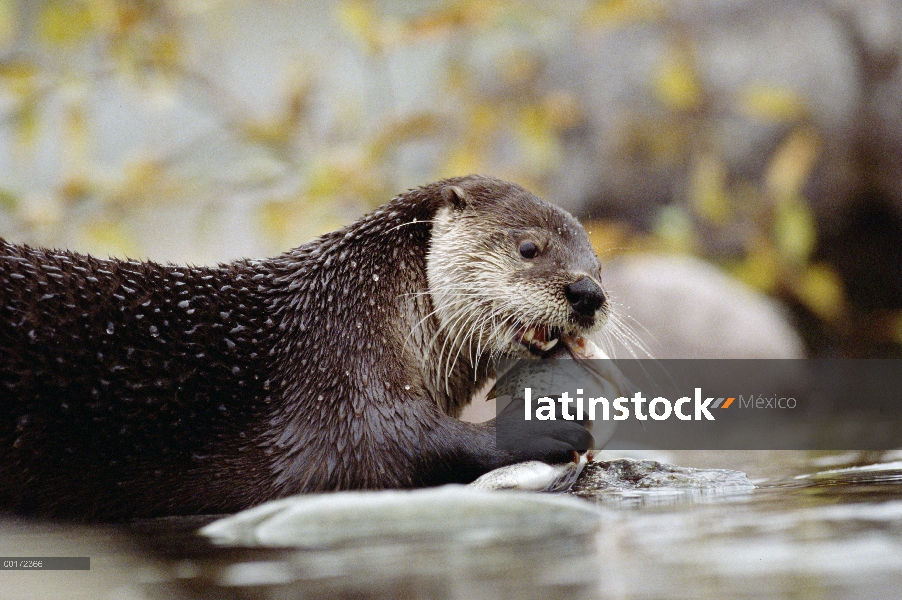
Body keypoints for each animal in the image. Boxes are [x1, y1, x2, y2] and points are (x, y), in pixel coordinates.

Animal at [1, 175, 608, 520]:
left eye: (599, 265)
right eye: (529, 247)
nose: (589, 294)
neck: (354, 304)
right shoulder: (335, 372)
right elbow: (386, 447)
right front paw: (544, 428)